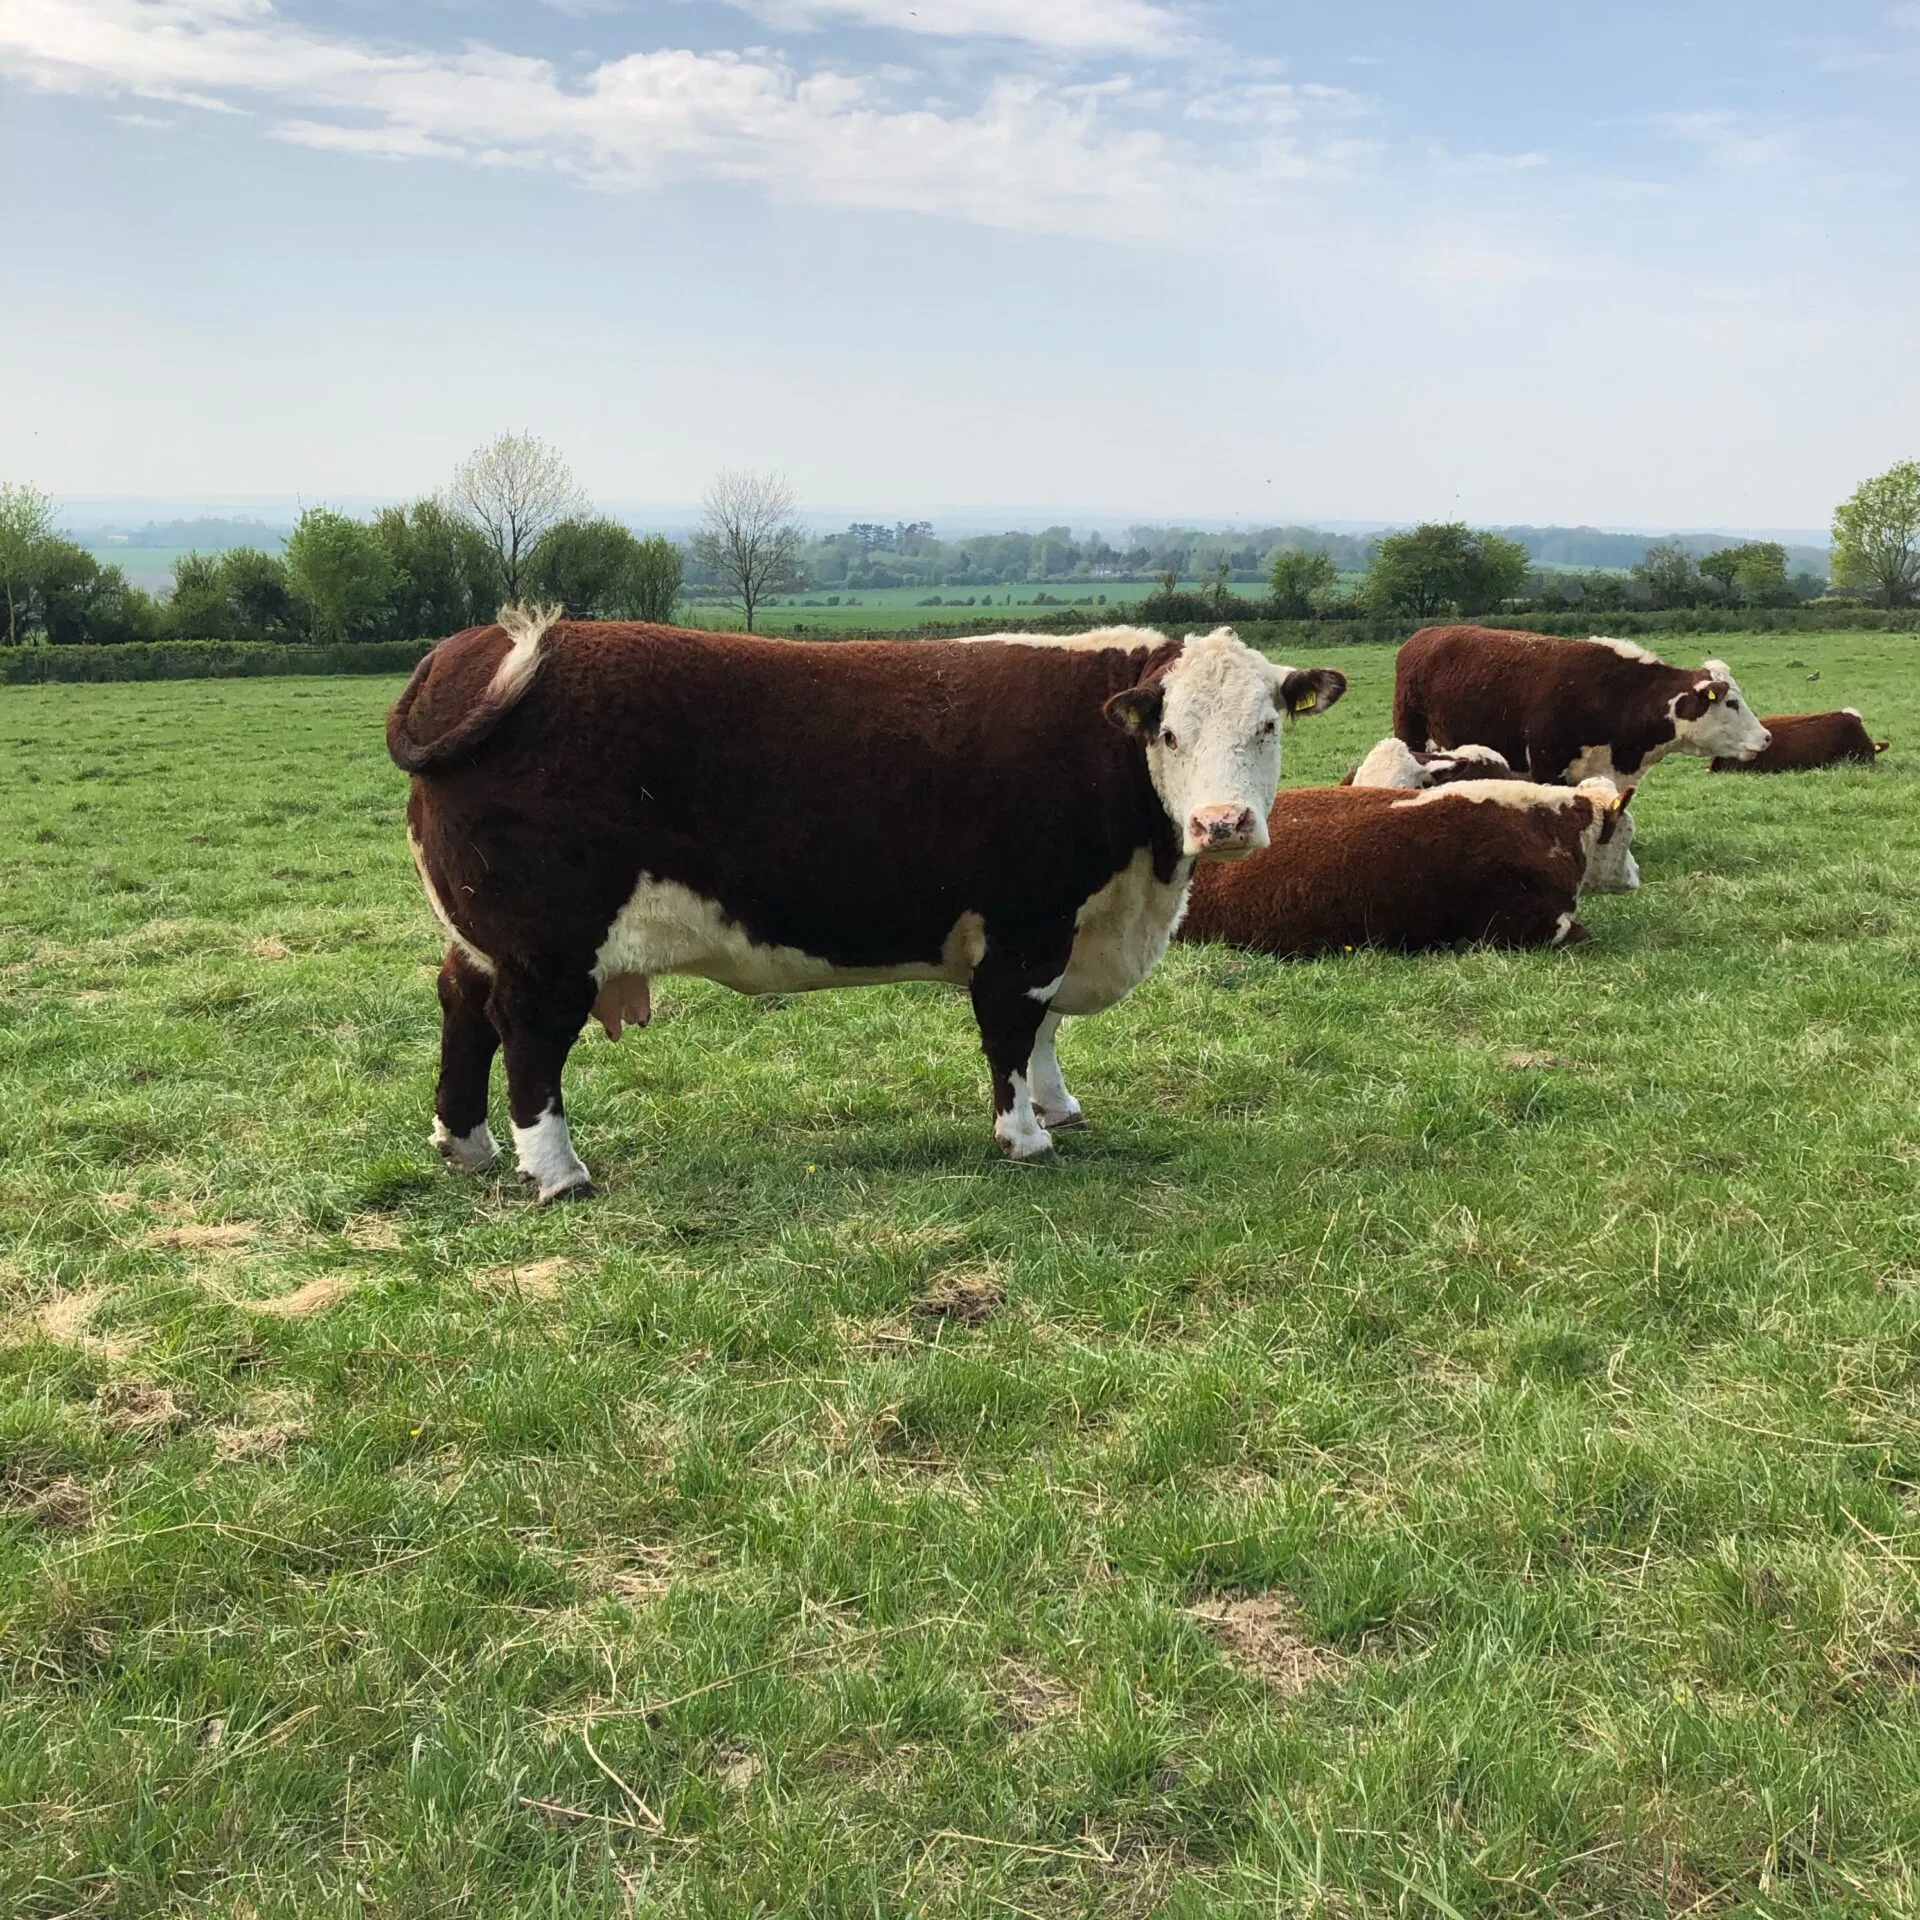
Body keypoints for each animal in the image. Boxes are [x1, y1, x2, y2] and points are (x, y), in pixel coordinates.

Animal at [387, 612, 1346, 1196]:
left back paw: (465, 1143)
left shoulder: (1062, 929)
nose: (1223, 823)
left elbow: (1042, 1033)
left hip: (488, 937)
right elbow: (1011, 1027)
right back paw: (557, 1172)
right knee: (530, 1037)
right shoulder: (1026, 927)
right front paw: (1023, 1135)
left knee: (463, 1003)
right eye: (1170, 733)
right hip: (551, 944)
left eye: (1268, 725)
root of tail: (463, 651)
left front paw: (1059, 1107)